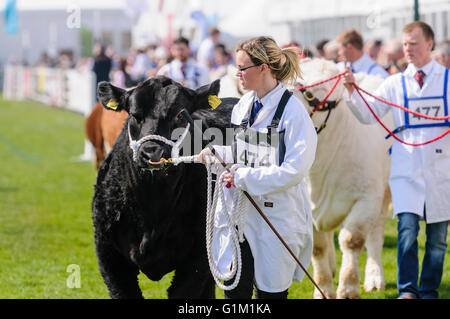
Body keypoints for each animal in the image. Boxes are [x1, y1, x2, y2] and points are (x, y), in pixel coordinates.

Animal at [93, 75, 237, 300]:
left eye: (179, 115)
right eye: (134, 115)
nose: (151, 152)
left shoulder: (200, 255)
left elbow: (184, 291)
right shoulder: (108, 252)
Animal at [292, 58, 394, 300]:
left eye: (313, 93)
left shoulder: (367, 198)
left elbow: (352, 240)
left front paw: (348, 289)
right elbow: (318, 246)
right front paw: (323, 290)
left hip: (385, 189)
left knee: (376, 232)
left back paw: (375, 278)